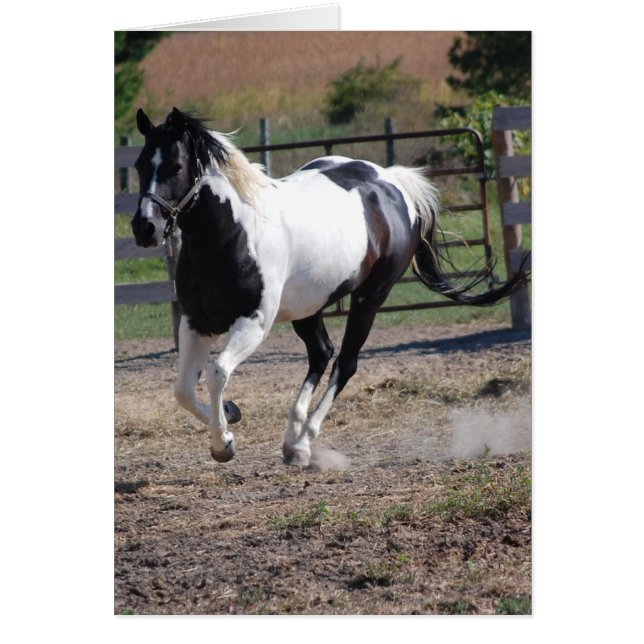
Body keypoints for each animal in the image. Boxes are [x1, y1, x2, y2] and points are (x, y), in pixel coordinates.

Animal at [131, 107, 527, 466]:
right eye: (138, 165)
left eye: (175, 167)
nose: (144, 228)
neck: (231, 234)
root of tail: (392, 183)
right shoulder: (196, 321)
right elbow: (182, 390)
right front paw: (231, 413)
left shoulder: (253, 322)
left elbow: (216, 374)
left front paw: (223, 444)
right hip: (309, 305)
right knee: (322, 353)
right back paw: (291, 438)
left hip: (369, 297)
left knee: (345, 363)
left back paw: (304, 444)